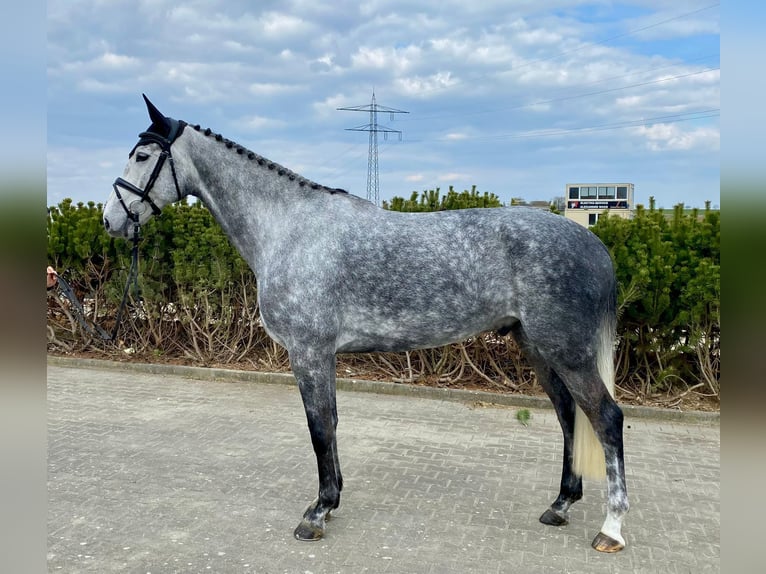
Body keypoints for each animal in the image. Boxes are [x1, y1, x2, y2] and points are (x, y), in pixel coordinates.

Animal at [103, 95, 629, 552]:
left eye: (143, 155)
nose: (111, 220)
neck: (288, 229)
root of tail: (593, 243)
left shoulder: (309, 351)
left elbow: (318, 428)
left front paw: (316, 514)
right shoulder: (322, 355)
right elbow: (331, 424)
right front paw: (331, 501)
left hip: (566, 350)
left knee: (605, 417)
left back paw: (611, 529)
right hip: (538, 347)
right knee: (569, 415)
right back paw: (560, 505)